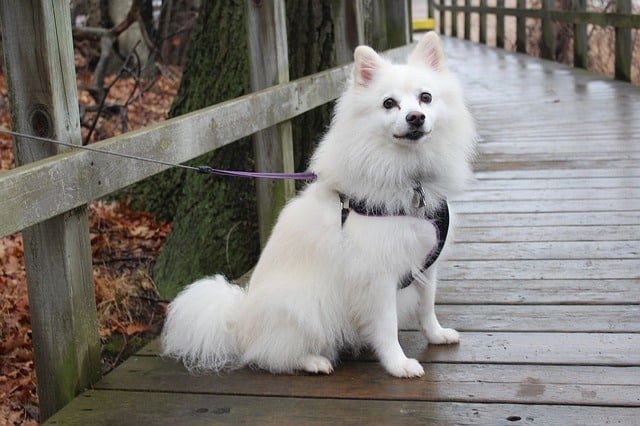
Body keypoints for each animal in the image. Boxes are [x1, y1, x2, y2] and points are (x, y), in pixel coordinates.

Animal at [162, 34, 478, 380]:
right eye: (389, 103)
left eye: (426, 98)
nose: (415, 117)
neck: (409, 176)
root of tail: (239, 321)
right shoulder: (377, 276)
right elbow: (387, 326)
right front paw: (398, 364)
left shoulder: (425, 261)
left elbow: (427, 306)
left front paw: (436, 335)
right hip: (303, 306)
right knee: (270, 355)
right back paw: (314, 361)